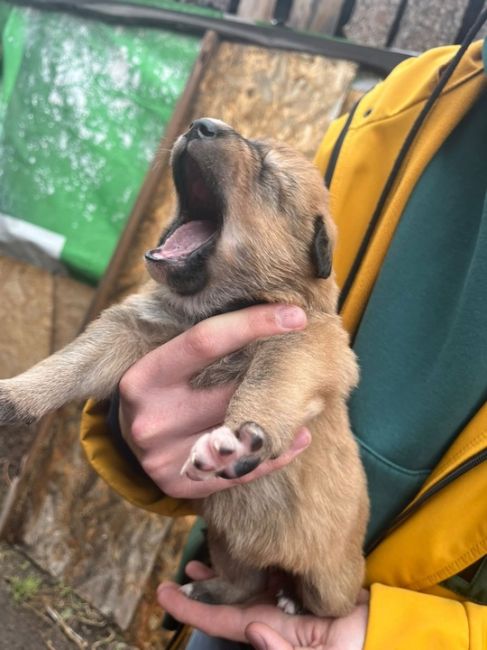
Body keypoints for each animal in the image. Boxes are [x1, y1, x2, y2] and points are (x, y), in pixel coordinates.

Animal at [0, 117, 368, 616]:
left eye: (268, 173)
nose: (203, 125)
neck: (208, 310)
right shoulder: (128, 330)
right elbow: (69, 363)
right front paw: (14, 395)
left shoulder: (305, 343)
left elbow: (269, 379)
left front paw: (237, 437)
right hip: (228, 542)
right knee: (245, 583)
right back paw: (209, 591)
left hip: (331, 581)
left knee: (330, 603)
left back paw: (292, 600)